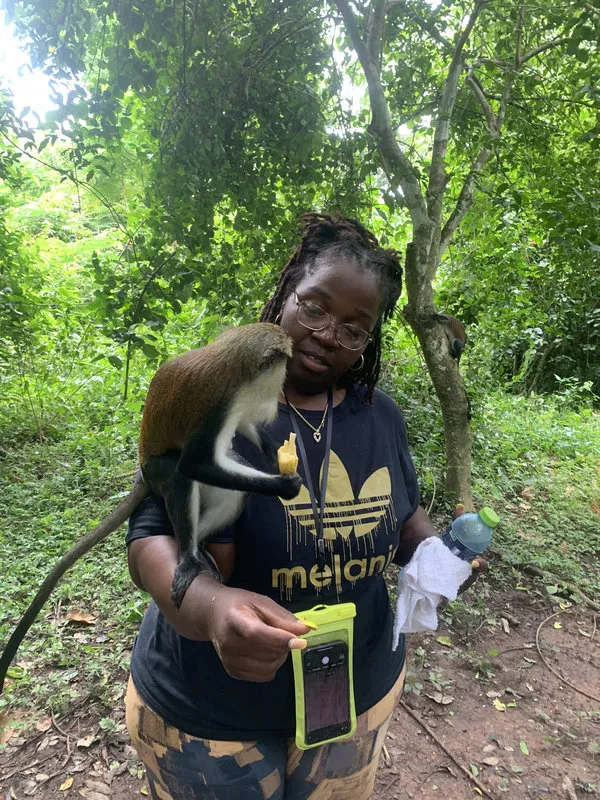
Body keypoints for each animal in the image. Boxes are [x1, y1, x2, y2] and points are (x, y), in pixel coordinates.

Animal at [0, 323, 302, 693]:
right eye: (283, 364)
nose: (285, 383)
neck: (234, 362)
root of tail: (143, 470)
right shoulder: (220, 406)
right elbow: (194, 465)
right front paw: (282, 485)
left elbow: (245, 428)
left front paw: (277, 451)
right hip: (158, 471)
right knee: (178, 474)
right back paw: (188, 559)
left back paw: (199, 548)